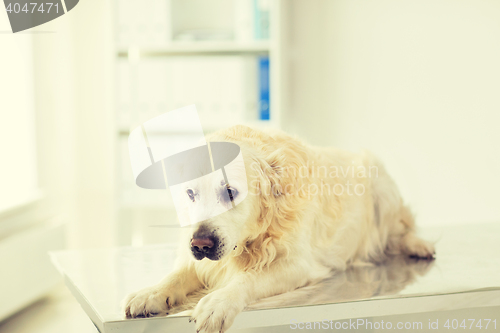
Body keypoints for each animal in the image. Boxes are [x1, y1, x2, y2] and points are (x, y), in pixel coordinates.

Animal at [124, 125, 434, 332]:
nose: (200, 245)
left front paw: (218, 302)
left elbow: (248, 279)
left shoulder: (298, 264)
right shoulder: (200, 258)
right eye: (190, 194)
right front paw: (149, 293)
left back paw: (419, 245)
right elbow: (176, 275)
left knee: (399, 230)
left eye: (230, 191)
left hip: (382, 186)